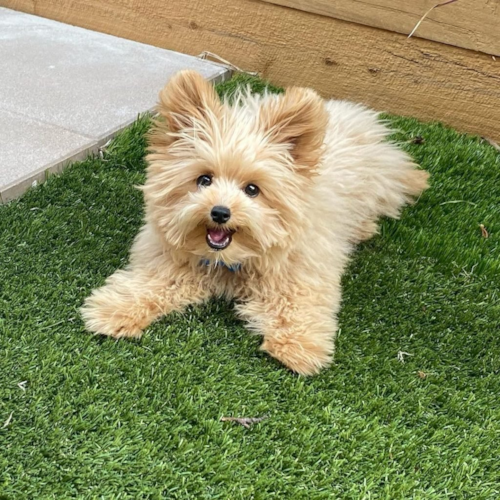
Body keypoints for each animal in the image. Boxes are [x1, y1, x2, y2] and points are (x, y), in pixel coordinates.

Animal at [80, 70, 428, 376]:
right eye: (204, 180)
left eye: (252, 189)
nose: (220, 212)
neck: (231, 260)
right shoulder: (170, 263)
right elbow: (148, 285)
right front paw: (115, 310)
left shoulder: (302, 270)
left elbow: (298, 303)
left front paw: (298, 346)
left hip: (375, 187)